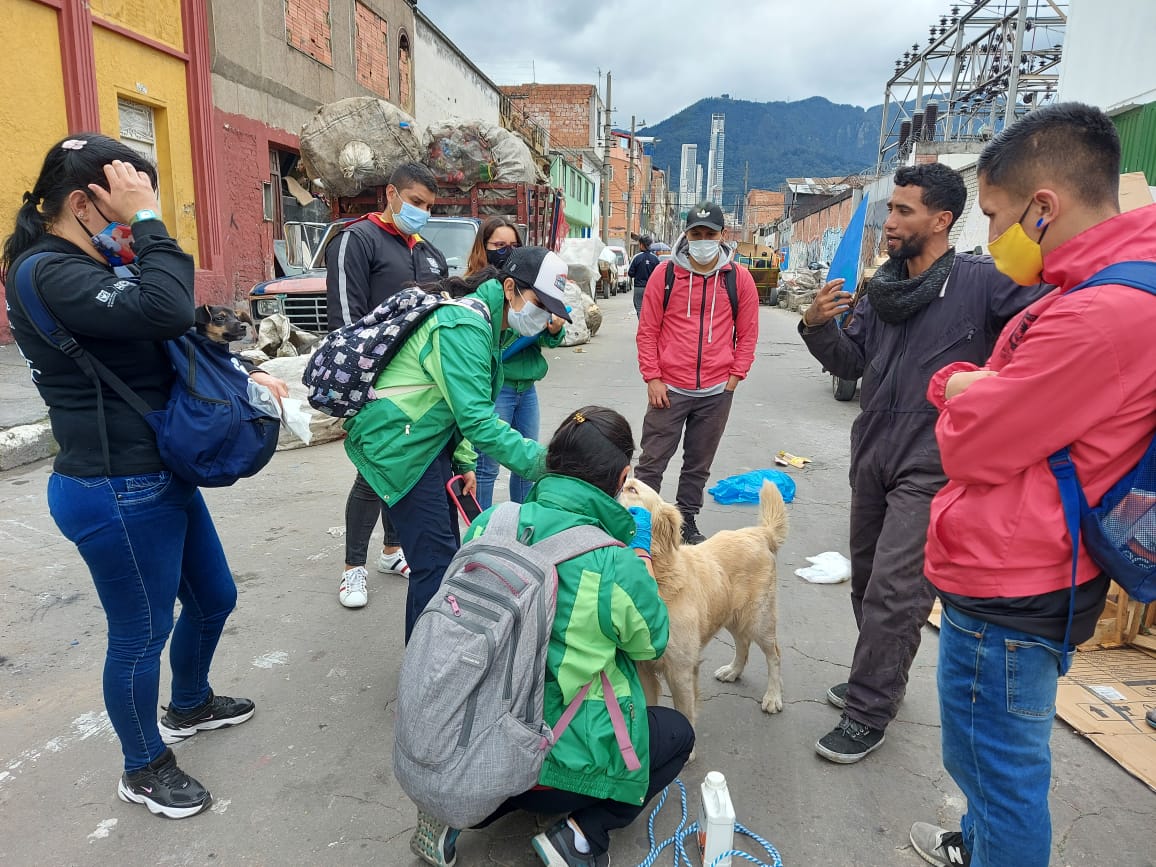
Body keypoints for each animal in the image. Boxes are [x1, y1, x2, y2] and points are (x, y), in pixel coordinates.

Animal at [619, 478, 790, 749]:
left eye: (632, 489)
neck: (658, 576)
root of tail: (758, 532)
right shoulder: (642, 668)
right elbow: (647, 706)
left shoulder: (680, 669)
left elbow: (684, 710)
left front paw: (688, 750)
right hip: (731, 614)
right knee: (743, 643)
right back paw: (733, 671)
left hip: (758, 619)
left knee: (774, 655)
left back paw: (773, 696)